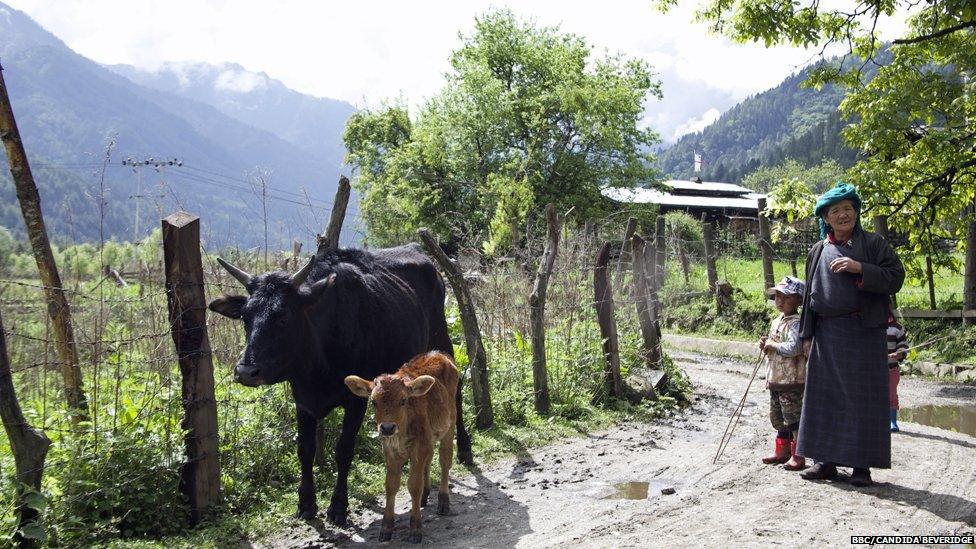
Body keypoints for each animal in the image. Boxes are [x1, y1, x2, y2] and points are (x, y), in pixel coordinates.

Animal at [208, 244, 474, 524]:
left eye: (282, 318)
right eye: (245, 318)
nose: (246, 371)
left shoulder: (356, 400)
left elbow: (344, 450)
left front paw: (338, 506)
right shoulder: (303, 401)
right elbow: (305, 449)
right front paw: (306, 502)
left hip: (441, 337)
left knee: (456, 391)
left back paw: (465, 449)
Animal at [346, 352, 460, 544]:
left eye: (403, 400)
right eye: (373, 401)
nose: (387, 427)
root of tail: (439, 354)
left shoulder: (418, 447)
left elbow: (413, 485)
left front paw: (415, 528)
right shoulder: (390, 451)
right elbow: (391, 485)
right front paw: (386, 527)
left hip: (450, 424)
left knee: (445, 460)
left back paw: (443, 501)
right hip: (429, 437)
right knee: (430, 459)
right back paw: (425, 496)